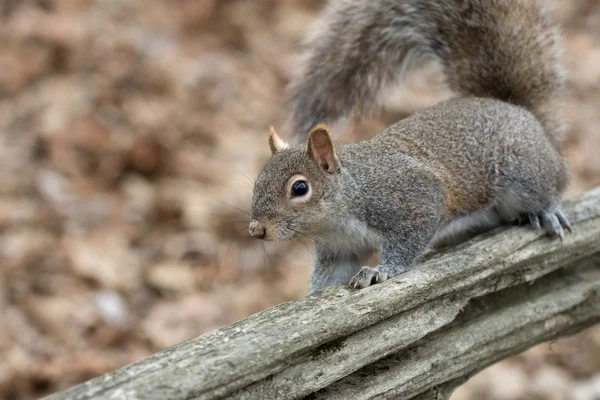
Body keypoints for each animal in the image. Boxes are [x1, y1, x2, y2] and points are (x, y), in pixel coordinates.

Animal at [247, 0, 572, 294]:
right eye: (258, 182)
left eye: (300, 188)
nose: (256, 229)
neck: (348, 200)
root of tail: (516, 110)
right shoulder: (341, 249)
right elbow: (330, 278)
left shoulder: (413, 197)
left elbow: (409, 241)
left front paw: (381, 270)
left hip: (525, 170)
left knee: (549, 189)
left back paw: (545, 213)